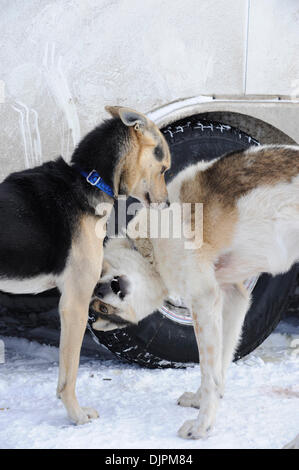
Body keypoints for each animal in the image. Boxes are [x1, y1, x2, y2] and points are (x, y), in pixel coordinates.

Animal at [0, 106, 171, 426]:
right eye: (164, 167)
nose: (167, 204)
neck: (90, 180)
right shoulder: (75, 304)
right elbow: (70, 370)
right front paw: (75, 414)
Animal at [91, 145, 299, 446]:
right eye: (102, 309)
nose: (103, 289)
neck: (150, 244)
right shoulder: (232, 298)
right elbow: (219, 367)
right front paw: (200, 401)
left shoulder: (204, 300)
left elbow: (208, 372)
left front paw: (202, 427)